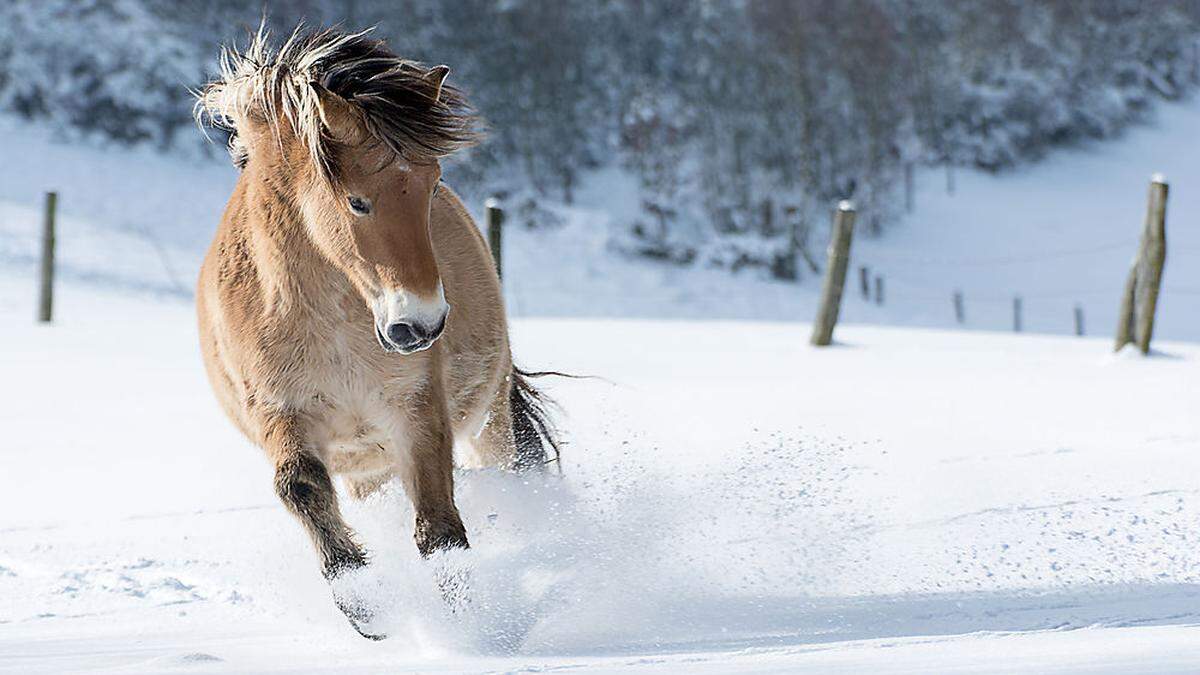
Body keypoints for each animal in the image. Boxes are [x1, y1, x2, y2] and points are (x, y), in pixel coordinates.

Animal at [193, 26, 556, 634]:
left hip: (489, 416)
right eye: (357, 201)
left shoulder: (415, 406)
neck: (330, 323)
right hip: (366, 466)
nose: (421, 325)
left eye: (433, 187)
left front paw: (465, 622)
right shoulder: (280, 410)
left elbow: (438, 527)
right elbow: (300, 485)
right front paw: (365, 602)